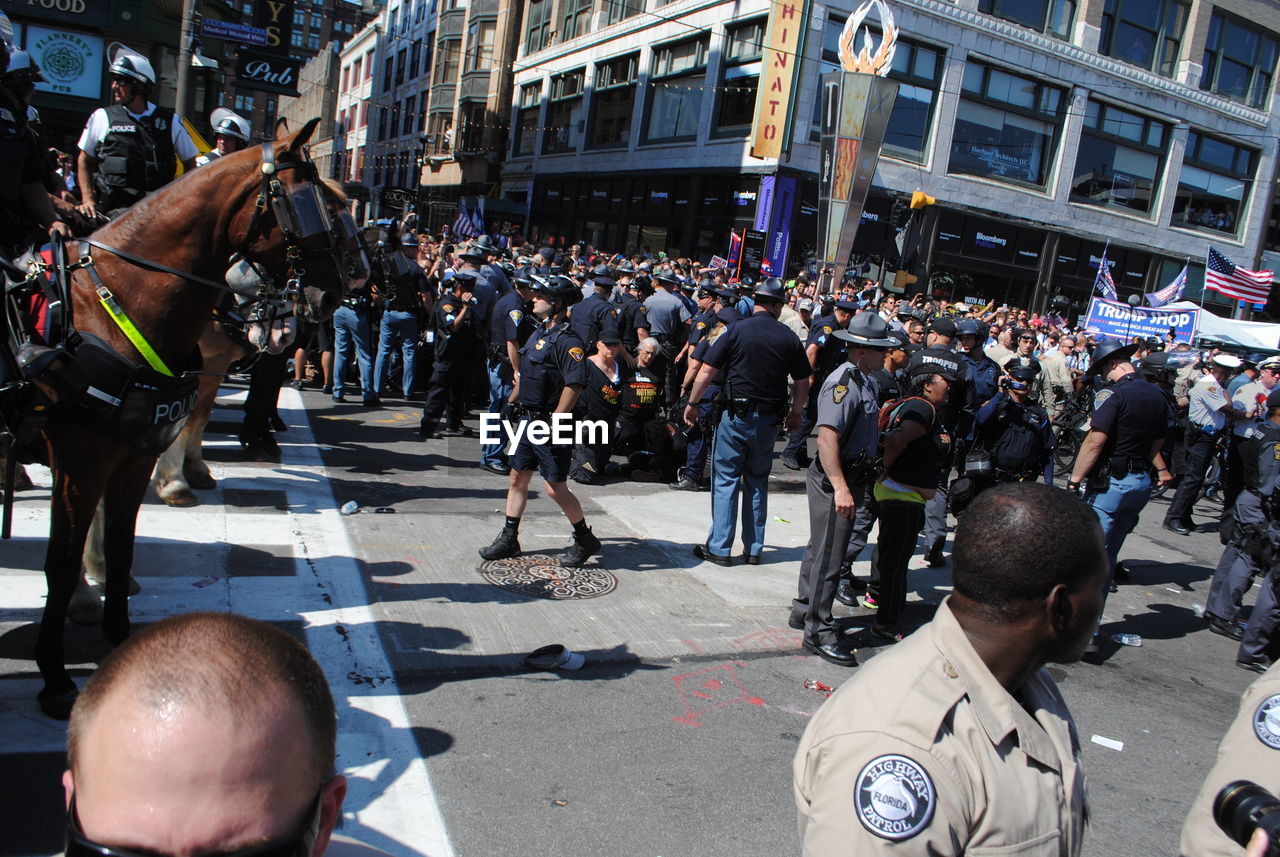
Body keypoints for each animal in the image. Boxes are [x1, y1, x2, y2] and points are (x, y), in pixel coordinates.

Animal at [32, 115, 363, 716]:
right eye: (314, 203)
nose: (336, 295)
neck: (111, 304)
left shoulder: (146, 425)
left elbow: (129, 524)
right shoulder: (85, 453)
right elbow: (62, 558)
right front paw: (56, 673)